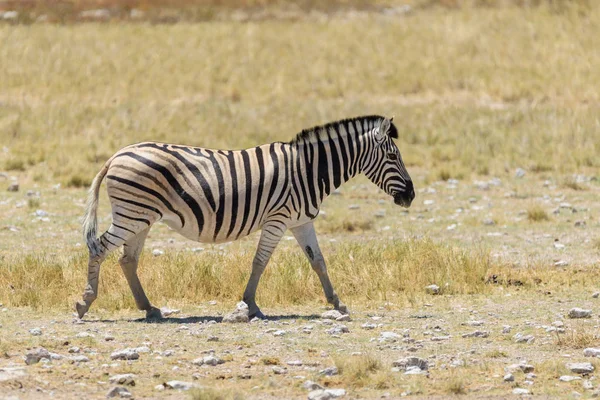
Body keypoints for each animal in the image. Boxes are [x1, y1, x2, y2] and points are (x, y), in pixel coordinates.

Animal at [76, 115, 412, 318]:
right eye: (393, 156)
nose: (410, 196)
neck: (307, 171)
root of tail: (116, 155)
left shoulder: (301, 221)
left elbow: (318, 261)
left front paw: (338, 303)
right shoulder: (278, 219)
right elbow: (260, 262)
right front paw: (250, 305)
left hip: (140, 217)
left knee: (127, 260)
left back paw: (148, 308)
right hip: (132, 214)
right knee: (99, 248)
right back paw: (85, 302)